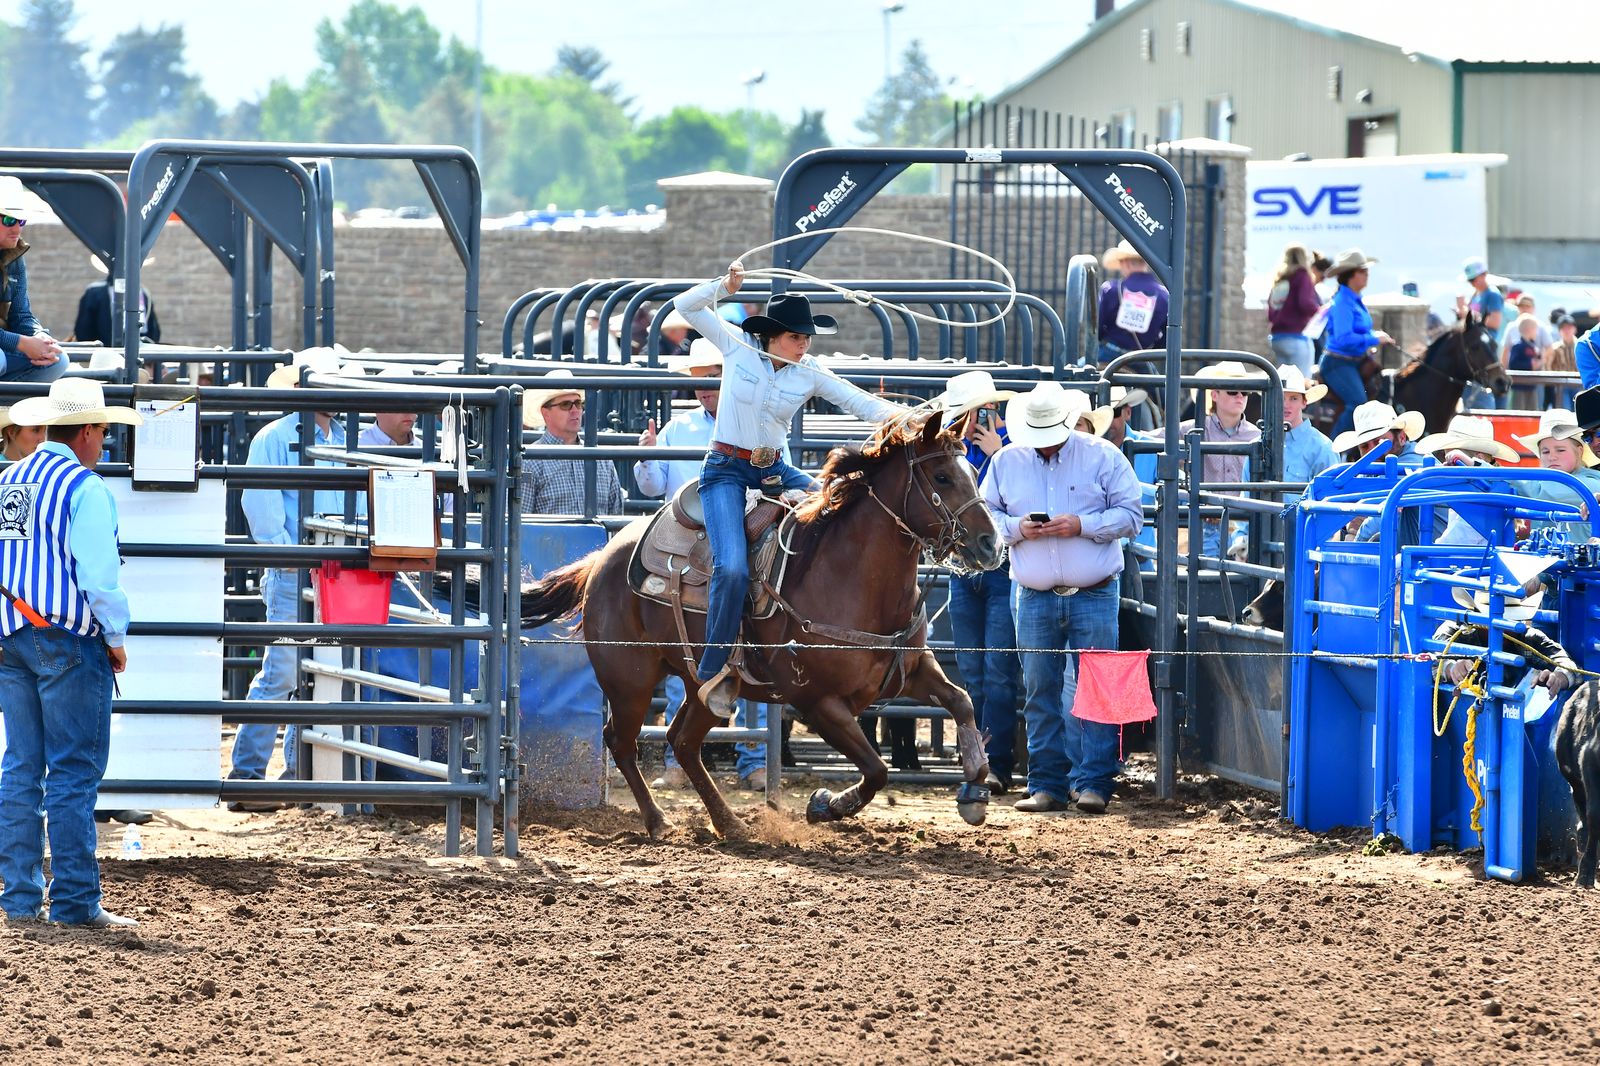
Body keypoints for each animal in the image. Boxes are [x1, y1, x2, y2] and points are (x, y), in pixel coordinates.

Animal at [520, 412, 1006, 840]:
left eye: (972, 471)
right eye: (941, 477)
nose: (991, 544)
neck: (849, 578)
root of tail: (602, 557)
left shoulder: (912, 670)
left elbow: (961, 702)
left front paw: (975, 786)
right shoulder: (817, 702)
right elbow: (875, 770)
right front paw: (825, 805)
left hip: (702, 684)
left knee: (682, 741)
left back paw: (729, 823)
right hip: (630, 680)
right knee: (621, 742)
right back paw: (659, 822)